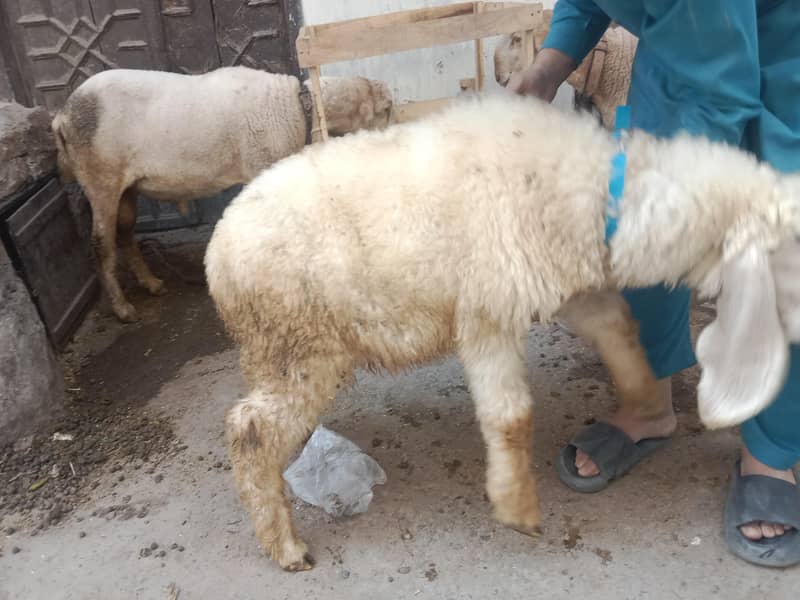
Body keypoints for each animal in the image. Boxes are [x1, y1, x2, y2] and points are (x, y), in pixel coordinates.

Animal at [52, 66, 393, 322]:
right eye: (386, 109)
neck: (296, 108)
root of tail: (62, 117)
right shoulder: (262, 163)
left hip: (126, 187)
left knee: (124, 234)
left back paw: (152, 284)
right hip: (100, 177)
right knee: (101, 244)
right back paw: (123, 309)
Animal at [203, 93, 800, 571]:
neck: (592, 191)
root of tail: (218, 255)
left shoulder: (564, 290)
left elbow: (620, 329)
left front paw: (643, 398)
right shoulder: (488, 316)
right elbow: (512, 418)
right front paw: (518, 507)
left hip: (279, 351)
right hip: (300, 345)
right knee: (248, 430)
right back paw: (285, 546)